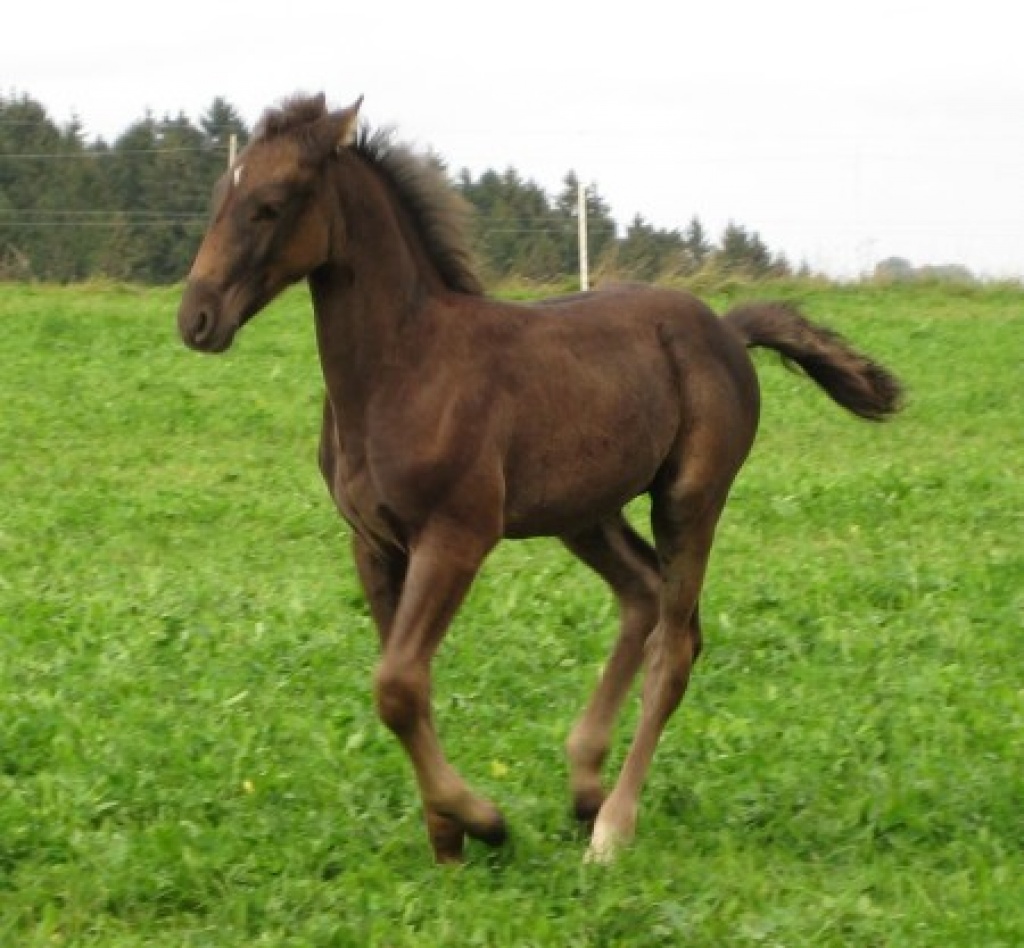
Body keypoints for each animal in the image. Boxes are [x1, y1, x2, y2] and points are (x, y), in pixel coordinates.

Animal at [177, 93, 902, 863]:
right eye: (221, 197)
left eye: (270, 205)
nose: (196, 318)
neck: (401, 367)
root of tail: (729, 331)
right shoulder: (372, 543)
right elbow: (404, 682)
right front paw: (447, 837)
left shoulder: (456, 536)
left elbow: (397, 684)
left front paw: (482, 820)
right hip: (585, 513)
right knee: (643, 596)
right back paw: (584, 783)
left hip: (689, 499)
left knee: (675, 647)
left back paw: (612, 827)